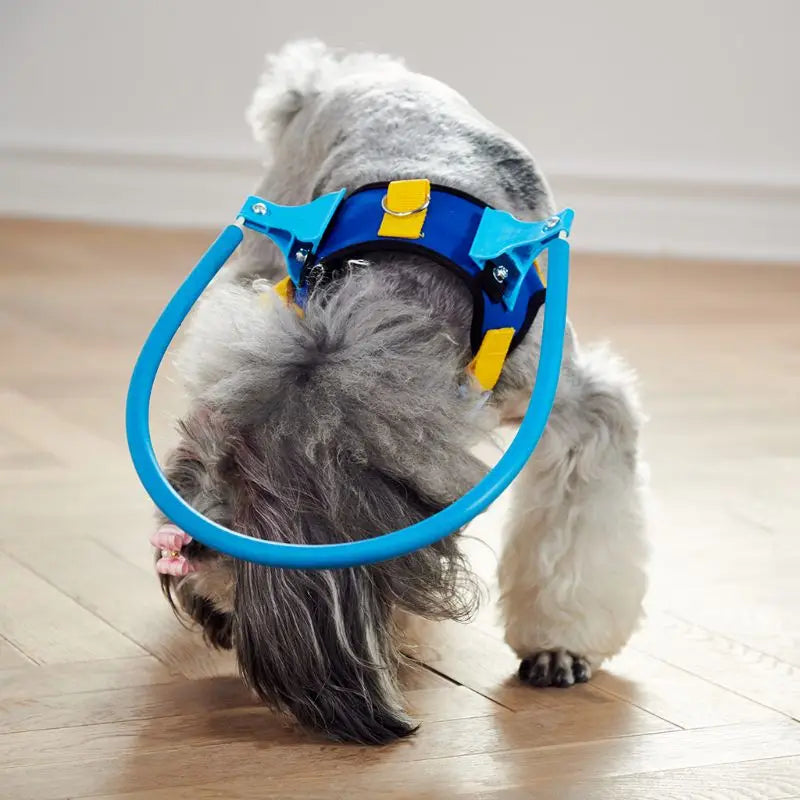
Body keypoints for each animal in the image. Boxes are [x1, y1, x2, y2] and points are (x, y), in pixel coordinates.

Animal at [155, 40, 648, 744]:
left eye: (252, 505)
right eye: (197, 463)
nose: (180, 550)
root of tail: (330, 78)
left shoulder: (578, 408)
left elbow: (576, 530)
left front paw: (560, 646)